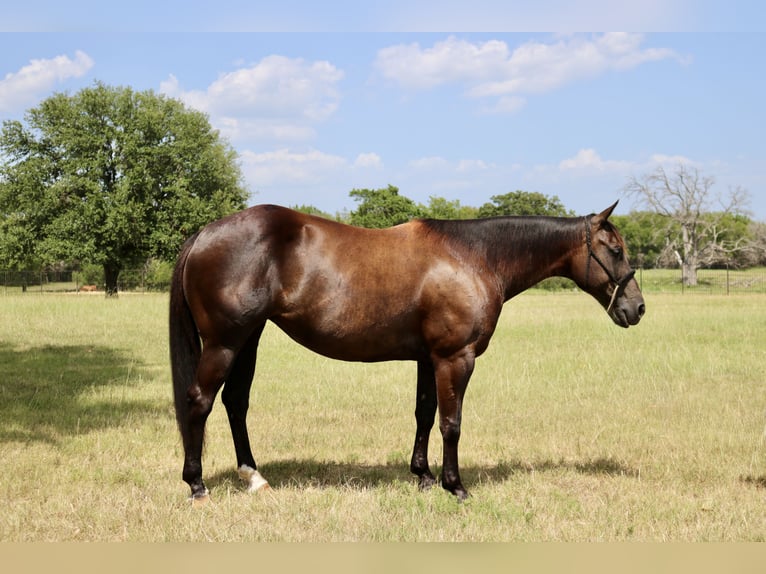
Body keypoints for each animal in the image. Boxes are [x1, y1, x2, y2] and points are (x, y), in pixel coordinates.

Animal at [169, 201, 644, 503]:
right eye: (615, 249)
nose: (636, 308)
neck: (474, 257)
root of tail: (204, 234)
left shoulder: (428, 358)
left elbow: (425, 414)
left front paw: (423, 476)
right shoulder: (455, 357)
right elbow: (451, 423)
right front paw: (455, 486)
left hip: (248, 338)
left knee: (235, 402)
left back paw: (253, 477)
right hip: (226, 342)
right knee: (200, 401)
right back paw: (196, 485)